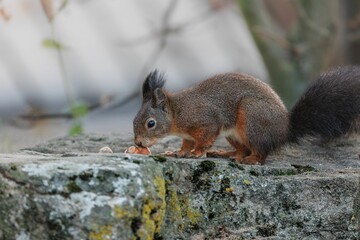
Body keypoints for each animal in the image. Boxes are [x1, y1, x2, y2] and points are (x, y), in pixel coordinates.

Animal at [133, 66, 360, 165]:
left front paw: (197, 153)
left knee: (261, 152)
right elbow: (186, 144)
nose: (138, 143)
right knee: (243, 149)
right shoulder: (188, 135)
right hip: (234, 135)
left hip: (252, 119)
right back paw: (229, 154)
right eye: (134, 120)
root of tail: (285, 131)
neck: (178, 112)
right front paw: (179, 152)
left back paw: (251, 159)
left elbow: (204, 139)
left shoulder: (207, 122)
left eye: (150, 123)